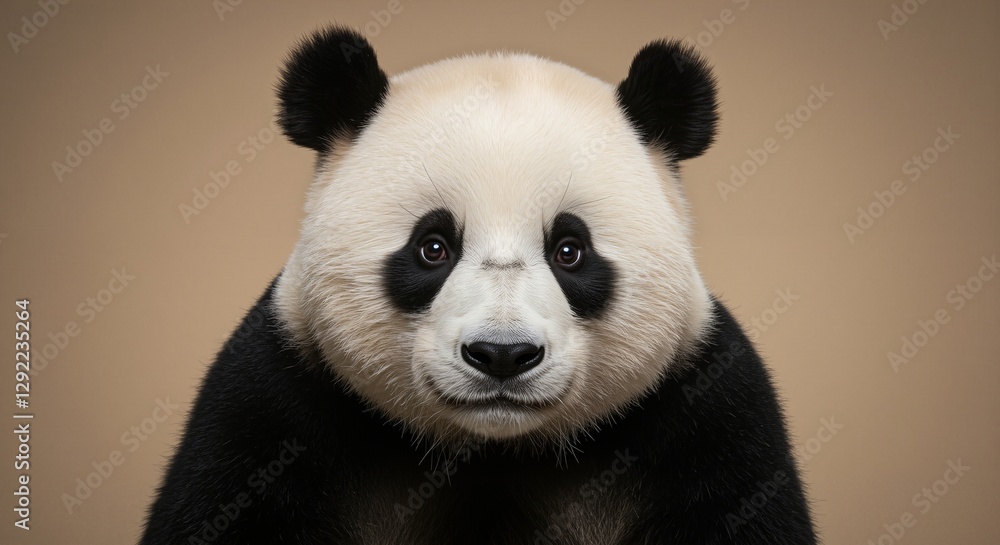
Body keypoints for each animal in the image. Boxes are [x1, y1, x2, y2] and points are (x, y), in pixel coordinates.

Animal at [141, 27, 816, 545]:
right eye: (432, 247)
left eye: (570, 251)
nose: (502, 355)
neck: (493, 449)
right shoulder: (275, 409)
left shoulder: (707, 419)